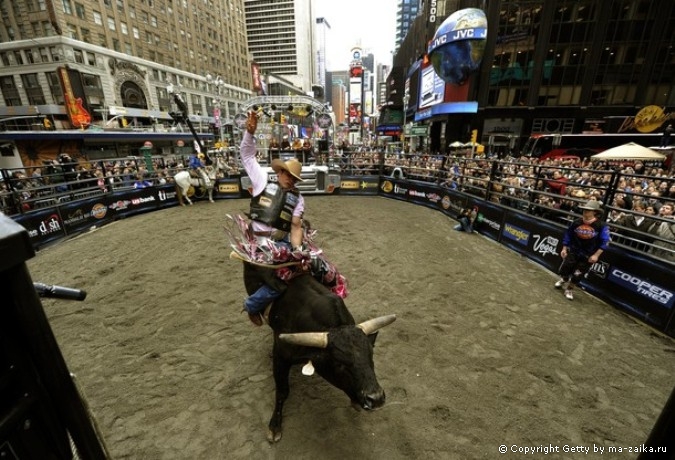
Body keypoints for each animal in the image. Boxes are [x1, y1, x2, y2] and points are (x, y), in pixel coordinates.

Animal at [243, 262, 398, 442]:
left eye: (371, 356)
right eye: (340, 364)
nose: (376, 398)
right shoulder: (281, 357)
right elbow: (282, 391)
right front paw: (274, 426)